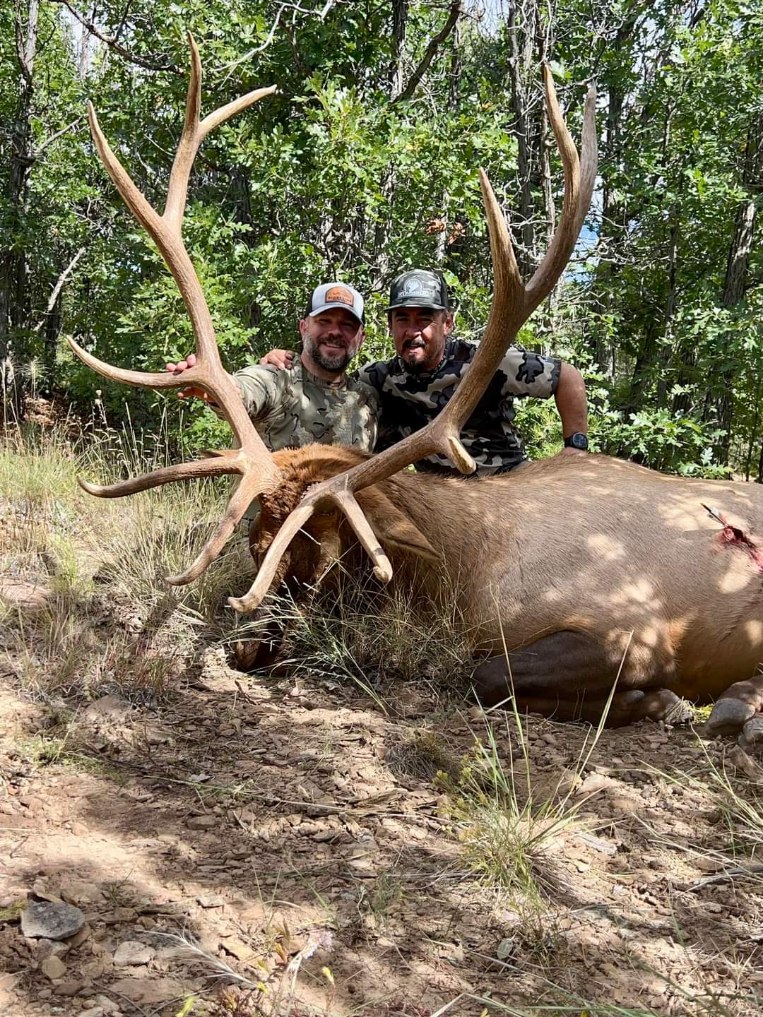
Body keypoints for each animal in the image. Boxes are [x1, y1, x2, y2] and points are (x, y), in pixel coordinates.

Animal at [70, 37, 763, 740]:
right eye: (255, 542)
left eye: (326, 558)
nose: (248, 648)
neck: (465, 577)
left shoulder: (636, 627)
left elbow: (486, 674)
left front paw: (662, 702)